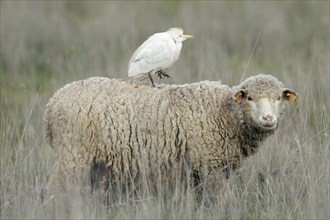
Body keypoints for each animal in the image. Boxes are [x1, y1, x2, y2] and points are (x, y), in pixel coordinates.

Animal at [43, 74, 300, 196]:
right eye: (250, 98)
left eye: (278, 98)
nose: (268, 119)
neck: (224, 112)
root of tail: (54, 101)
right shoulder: (211, 168)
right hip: (73, 155)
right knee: (57, 189)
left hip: (95, 163)